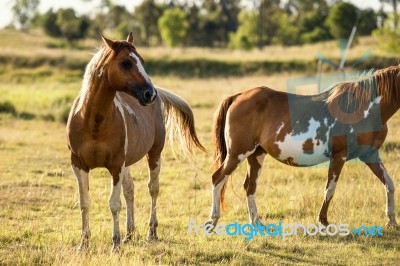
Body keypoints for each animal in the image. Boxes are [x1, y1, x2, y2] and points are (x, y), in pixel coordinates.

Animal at [67, 33, 205, 251]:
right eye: (126, 63)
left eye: (142, 61)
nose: (150, 93)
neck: (92, 121)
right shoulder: (79, 164)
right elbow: (84, 202)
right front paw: (84, 244)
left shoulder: (115, 165)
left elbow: (114, 203)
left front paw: (115, 243)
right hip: (127, 163)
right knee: (130, 190)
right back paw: (129, 234)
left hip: (154, 154)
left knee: (153, 189)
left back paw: (151, 233)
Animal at [206, 65, 400, 228]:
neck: (364, 109)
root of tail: (237, 97)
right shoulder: (339, 156)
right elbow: (329, 190)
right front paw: (323, 221)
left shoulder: (370, 155)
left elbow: (389, 184)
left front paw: (392, 221)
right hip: (237, 154)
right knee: (217, 178)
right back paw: (212, 221)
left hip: (256, 155)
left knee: (250, 186)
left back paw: (256, 222)